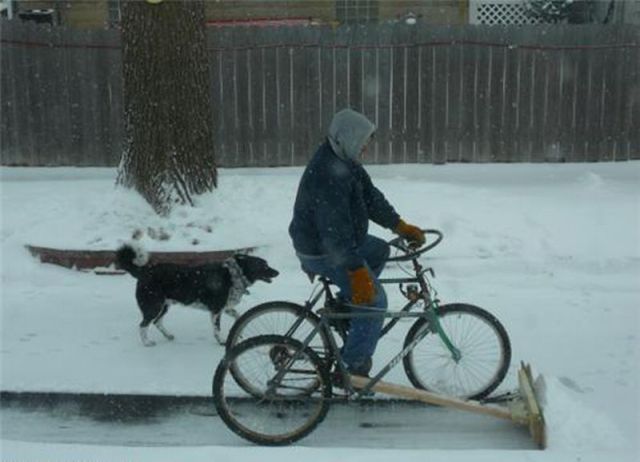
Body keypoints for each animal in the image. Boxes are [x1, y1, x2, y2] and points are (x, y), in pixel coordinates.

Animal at [114, 242, 278, 346]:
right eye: (263, 265)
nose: (277, 272)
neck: (234, 275)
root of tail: (144, 271)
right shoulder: (216, 310)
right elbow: (217, 329)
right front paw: (222, 341)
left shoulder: (226, 308)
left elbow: (239, 316)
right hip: (153, 306)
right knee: (143, 325)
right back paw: (147, 342)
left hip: (164, 306)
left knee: (156, 322)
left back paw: (168, 335)